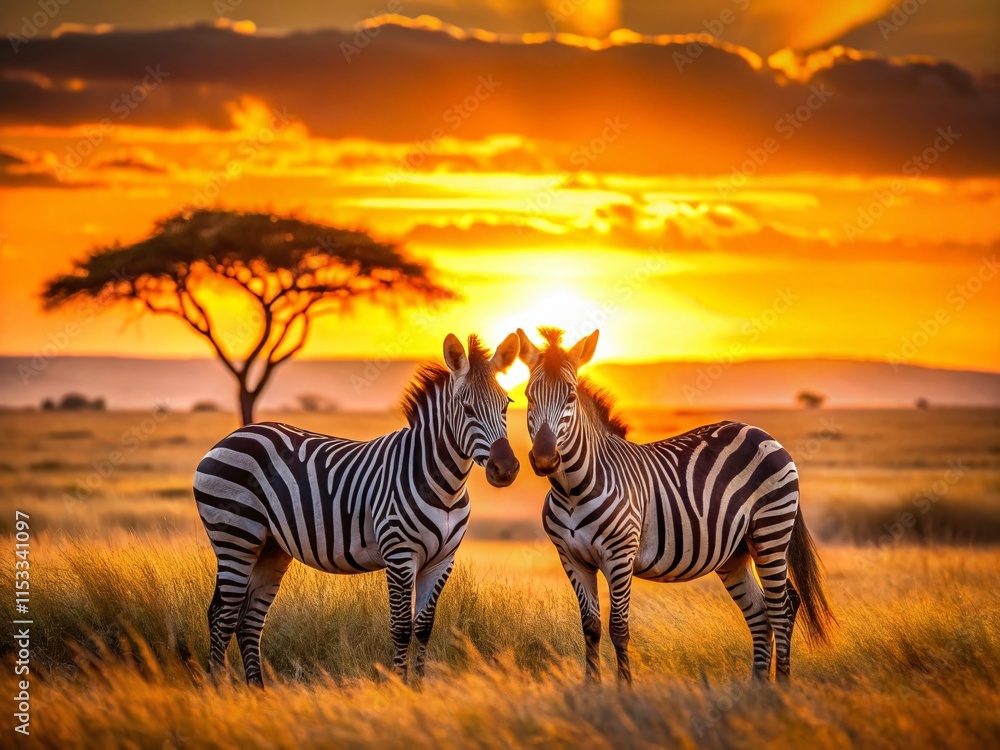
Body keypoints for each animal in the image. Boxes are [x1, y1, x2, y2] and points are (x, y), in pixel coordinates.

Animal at [193, 333, 521, 687]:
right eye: (467, 408)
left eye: (506, 405)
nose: (506, 469)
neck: (445, 485)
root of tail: (231, 436)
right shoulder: (399, 555)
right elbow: (401, 628)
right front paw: (399, 688)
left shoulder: (442, 560)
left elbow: (423, 628)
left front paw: (420, 689)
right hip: (236, 536)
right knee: (223, 615)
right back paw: (220, 689)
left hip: (270, 548)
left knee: (249, 621)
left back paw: (257, 692)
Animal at [516, 326, 835, 684]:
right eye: (528, 395)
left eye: (570, 396)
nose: (545, 458)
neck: (572, 490)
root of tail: (763, 433)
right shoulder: (572, 559)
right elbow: (591, 627)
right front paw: (591, 688)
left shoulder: (619, 555)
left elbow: (619, 628)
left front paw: (623, 690)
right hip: (735, 551)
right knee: (760, 611)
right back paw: (757, 687)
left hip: (770, 532)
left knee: (782, 607)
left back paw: (781, 685)